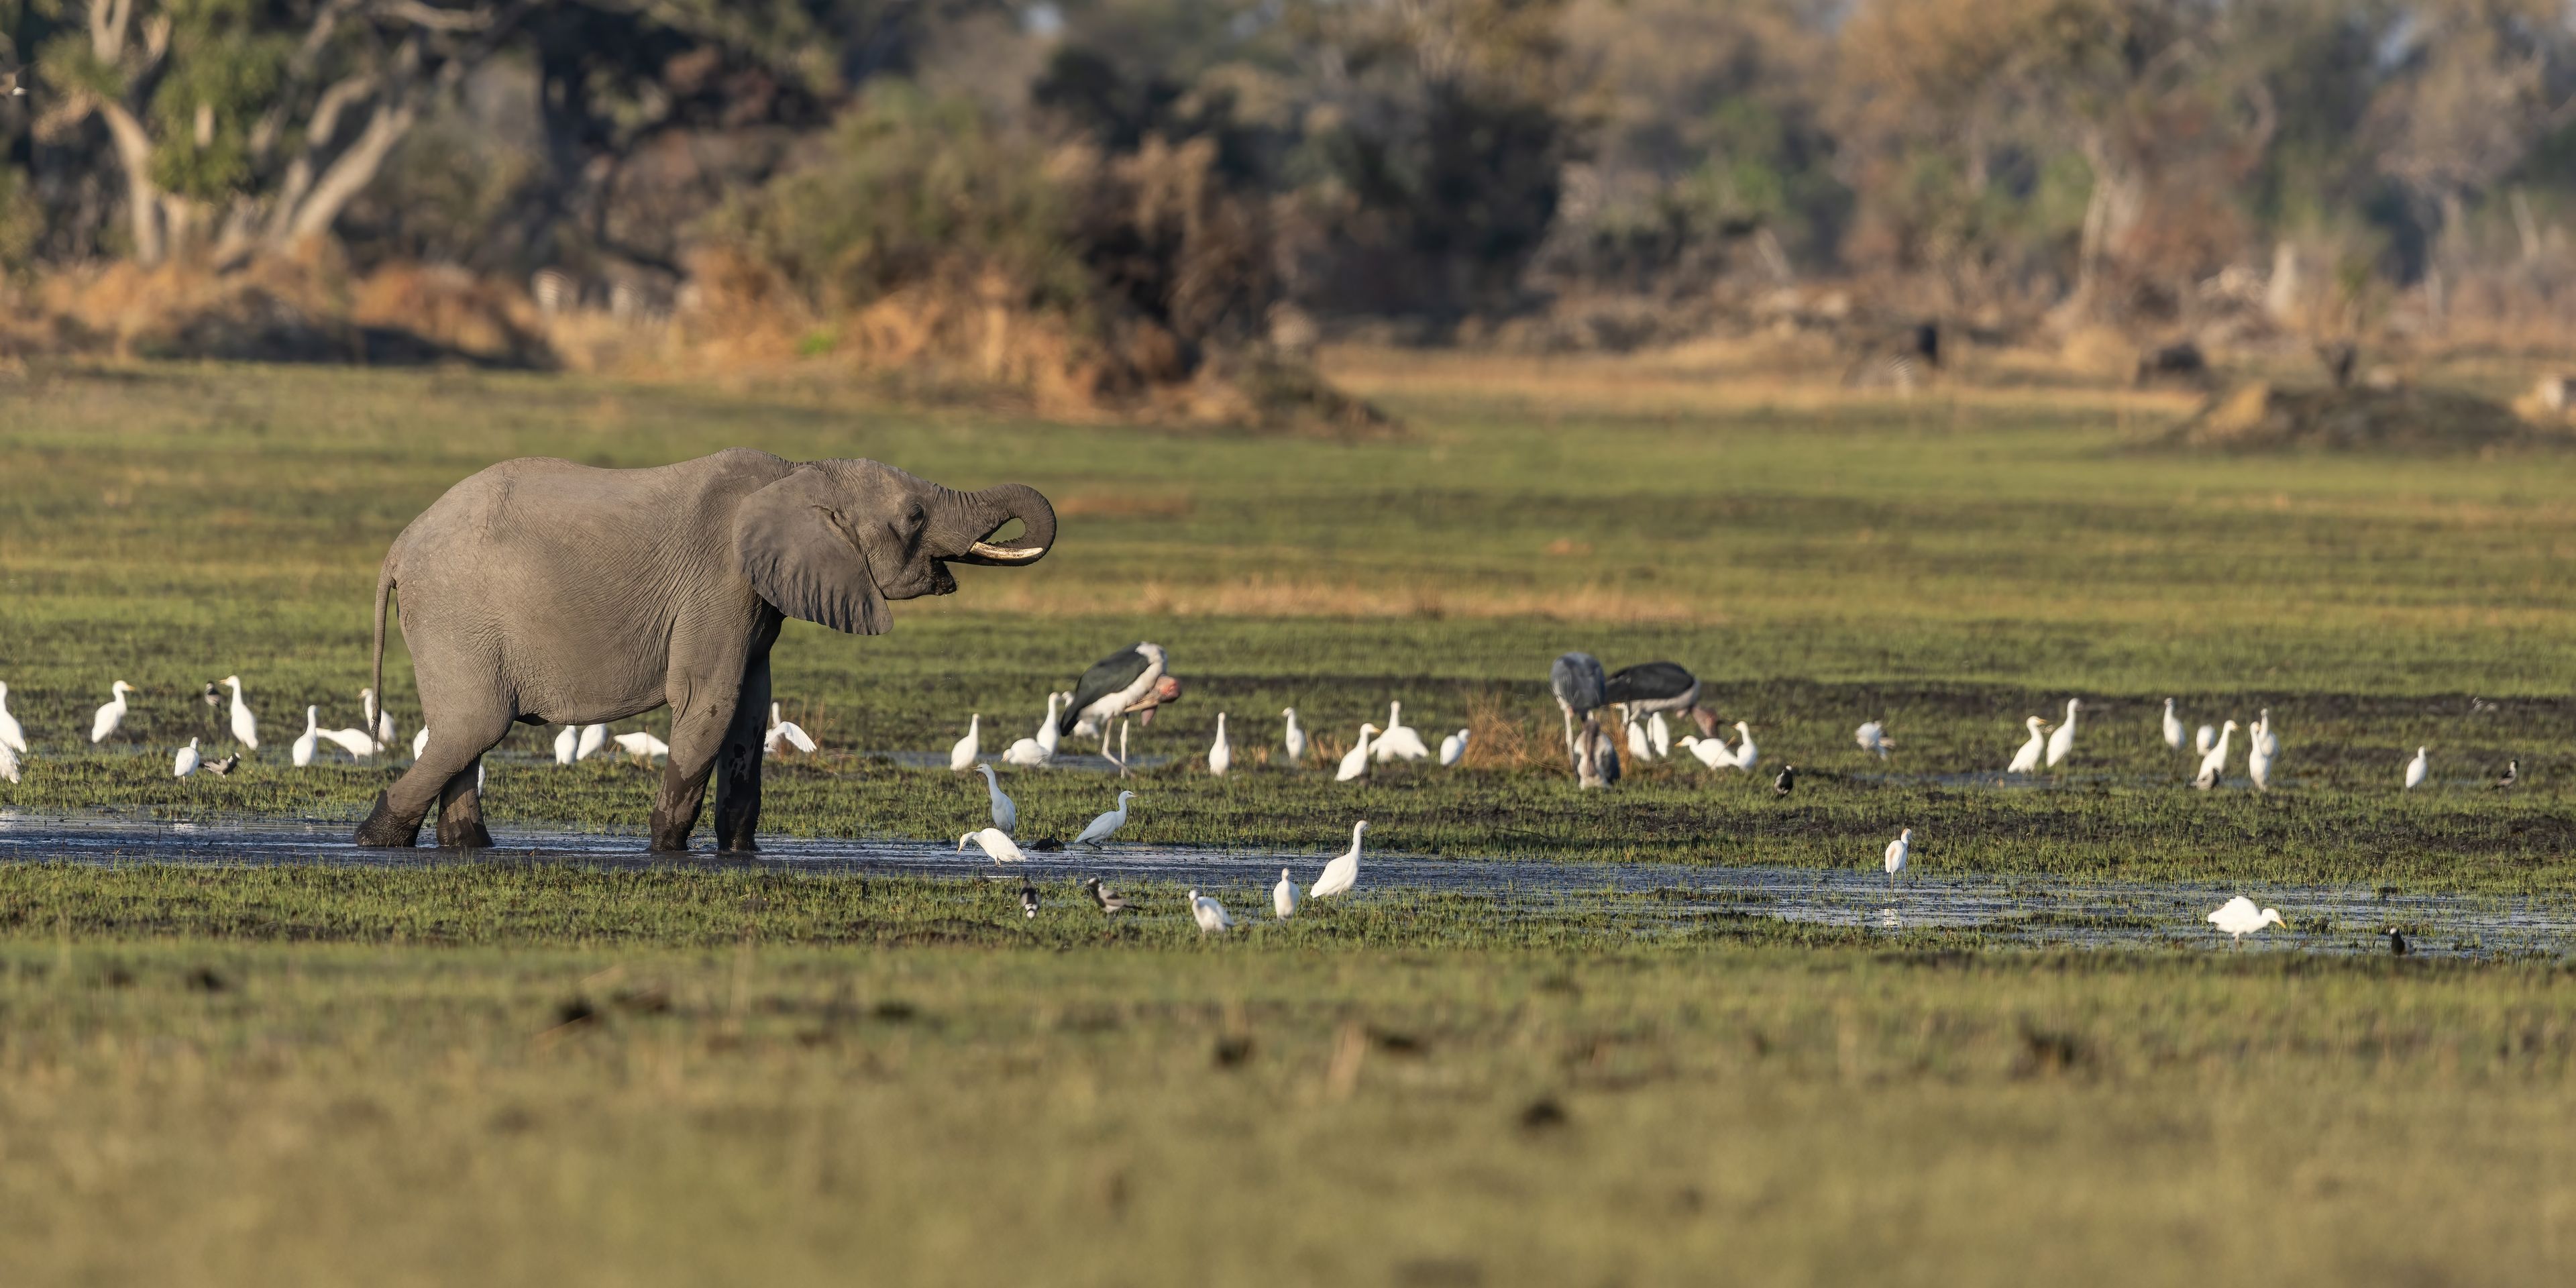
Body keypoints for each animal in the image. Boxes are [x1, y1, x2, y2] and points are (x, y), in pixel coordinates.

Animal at [352, 448, 1055, 852]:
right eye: (913, 517)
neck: (798, 474)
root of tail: (398, 547)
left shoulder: (757, 595)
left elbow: (751, 708)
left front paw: (739, 853)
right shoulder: (718, 581)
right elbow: (709, 702)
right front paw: (666, 851)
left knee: (463, 735)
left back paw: (466, 846)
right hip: (455, 613)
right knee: (474, 726)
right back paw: (374, 841)